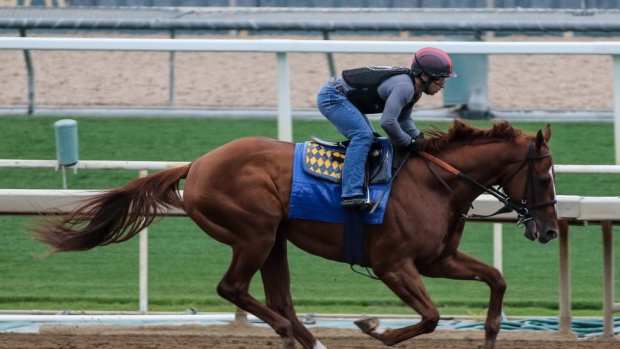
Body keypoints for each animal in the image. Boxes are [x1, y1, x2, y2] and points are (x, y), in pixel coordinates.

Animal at [37, 120, 560, 348]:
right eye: (542, 175)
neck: (437, 182)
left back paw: (306, 338)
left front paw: (490, 334)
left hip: (274, 240)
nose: (552, 230)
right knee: (234, 288)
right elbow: (430, 317)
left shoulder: (437, 260)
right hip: (255, 231)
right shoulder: (393, 264)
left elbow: (496, 280)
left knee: (277, 297)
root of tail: (198, 164)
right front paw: (375, 328)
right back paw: (295, 334)